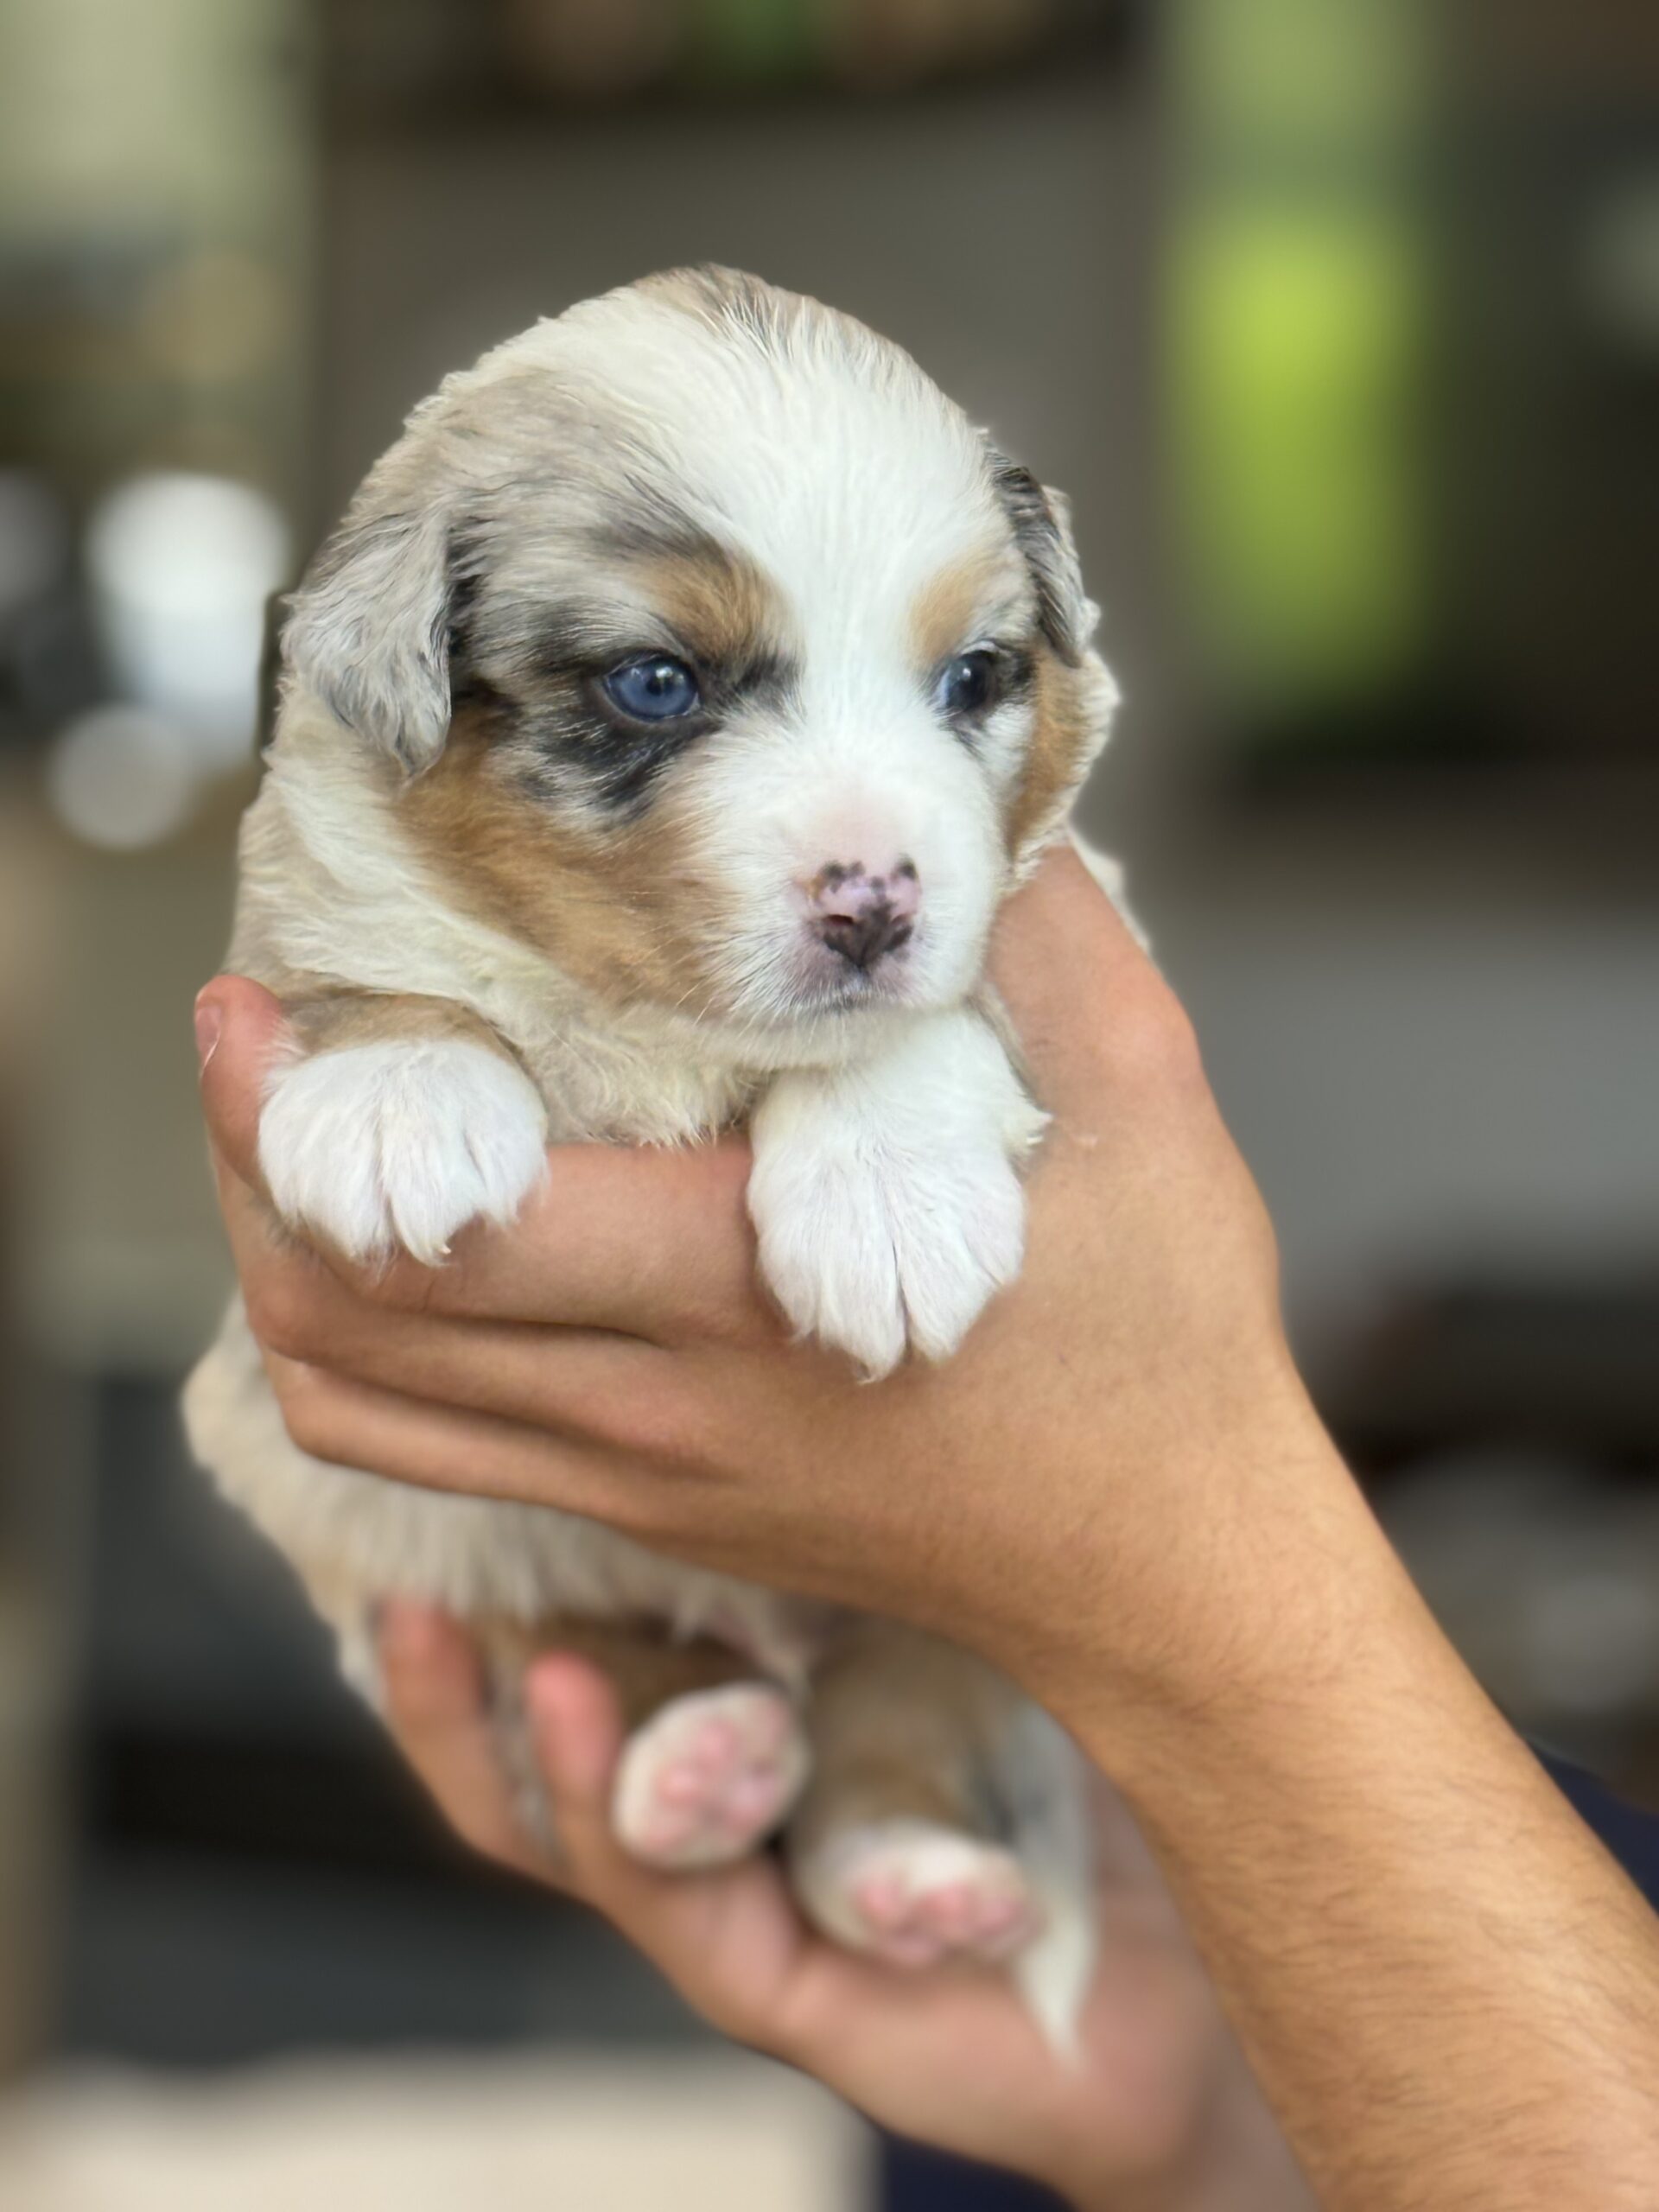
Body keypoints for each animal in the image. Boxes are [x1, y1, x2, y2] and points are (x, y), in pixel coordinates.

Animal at [181, 267, 1123, 2044]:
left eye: (973, 681)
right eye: (659, 684)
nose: (876, 903)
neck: (653, 1010)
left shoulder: (1038, 911)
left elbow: (914, 1030)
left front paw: (886, 1206)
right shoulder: (318, 878)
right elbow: (379, 963)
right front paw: (401, 1095)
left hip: (960, 1614)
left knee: (903, 1711)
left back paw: (908, 1872)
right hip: (416, 1526)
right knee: (593, 1645)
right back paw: (697, 1759)